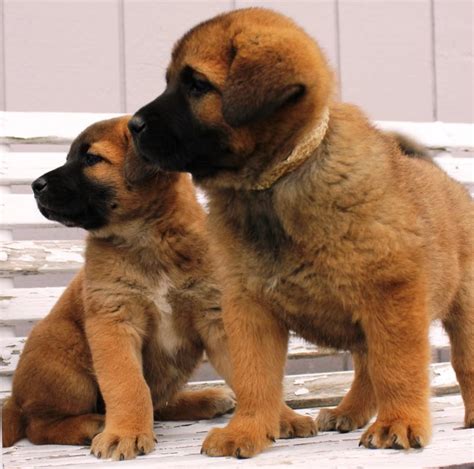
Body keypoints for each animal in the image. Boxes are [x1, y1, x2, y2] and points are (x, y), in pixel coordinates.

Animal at [0, 116, 237, 458]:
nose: (35, 185)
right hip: (63, 353)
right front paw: (125, 433)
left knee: (158, 403)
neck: (149, 239)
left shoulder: (213, 314)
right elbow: (128, 385)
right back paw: (92, 424)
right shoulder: (114, 322)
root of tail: (14, 402)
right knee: (38, 427)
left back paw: (203, 399)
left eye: (91, 159)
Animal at [130, 6, 474, 458]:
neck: (272, 184)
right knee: (366, 366)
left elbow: (397, 368)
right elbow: (254, 378)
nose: (132, 125)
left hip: (463, 307)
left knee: (461, 362)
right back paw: (349, 410)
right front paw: (247, 430)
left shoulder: (391, 296)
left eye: (197, 85)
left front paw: (398, 421)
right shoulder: (249, 307)